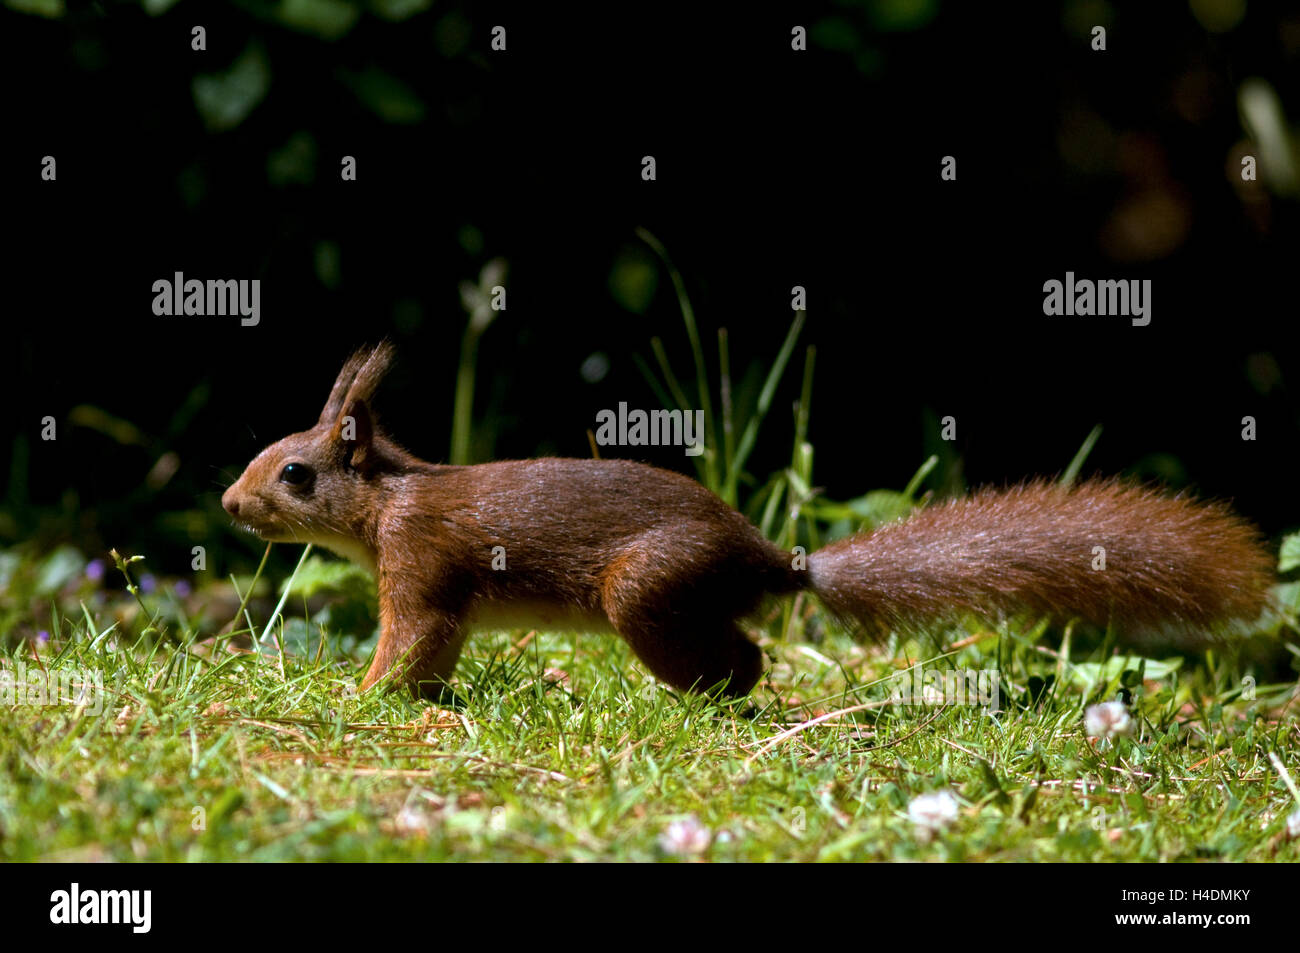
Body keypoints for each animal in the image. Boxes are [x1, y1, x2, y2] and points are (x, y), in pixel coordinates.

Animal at [220, 343, 1268, 691]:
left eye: (296, 473)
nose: (230, 504)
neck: (388, 501)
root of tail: (774, 560)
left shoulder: (423, 565)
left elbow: (413, 642)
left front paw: (359, 700)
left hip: (645, 588)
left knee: (746, 657)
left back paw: (698, 701)